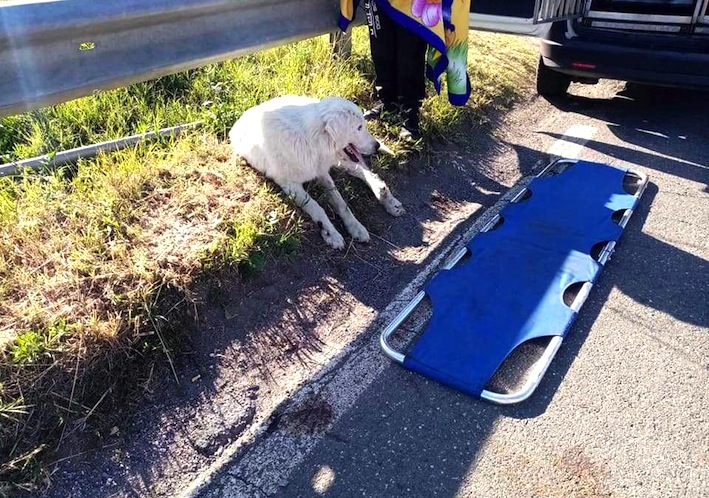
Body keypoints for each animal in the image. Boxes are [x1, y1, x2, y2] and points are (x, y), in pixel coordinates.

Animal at [228, 96, 404, 249]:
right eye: (359, 127)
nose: (377, 145)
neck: (312, 140)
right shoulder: (292, 184)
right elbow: (317, 206)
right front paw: (331, 233)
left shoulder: (321, 170)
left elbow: (341, 203)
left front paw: (356, 227)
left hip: (337, 160)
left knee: (363, 170)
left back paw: (387, 198)